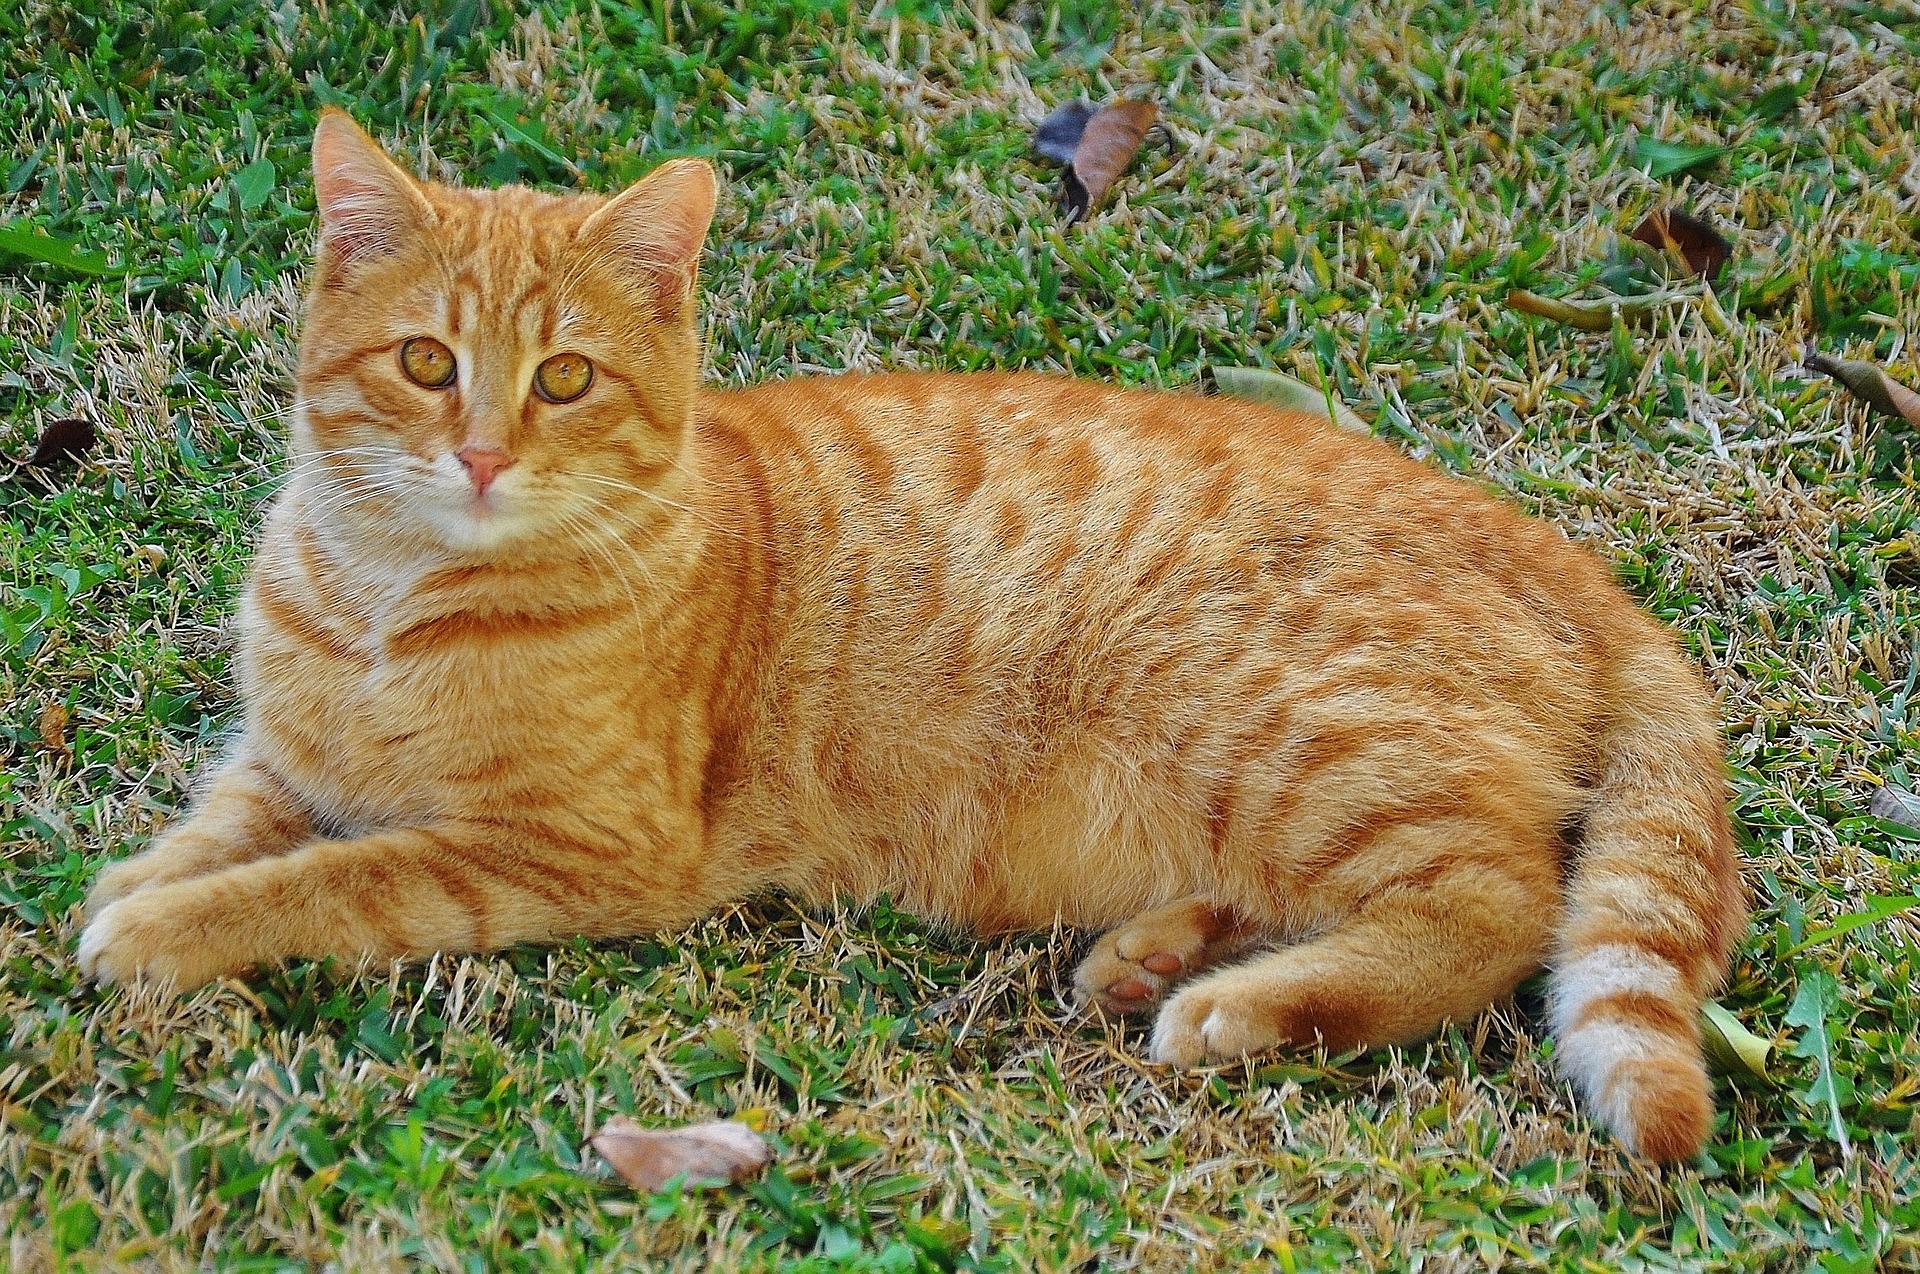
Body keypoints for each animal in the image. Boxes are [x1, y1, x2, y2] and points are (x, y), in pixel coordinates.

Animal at [82, 111, 1751, 1166]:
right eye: (428, 363)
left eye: (563, 381)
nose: (483, 455)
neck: (386, 592)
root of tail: (1549, 544)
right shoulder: (288, 757)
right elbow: (227, 817)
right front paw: (136, 884)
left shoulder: (566, 847)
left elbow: (329, 880)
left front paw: (161, 932)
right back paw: (1151, 953)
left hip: (1297, 745)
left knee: (1498, 906)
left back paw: (1235, 1006)